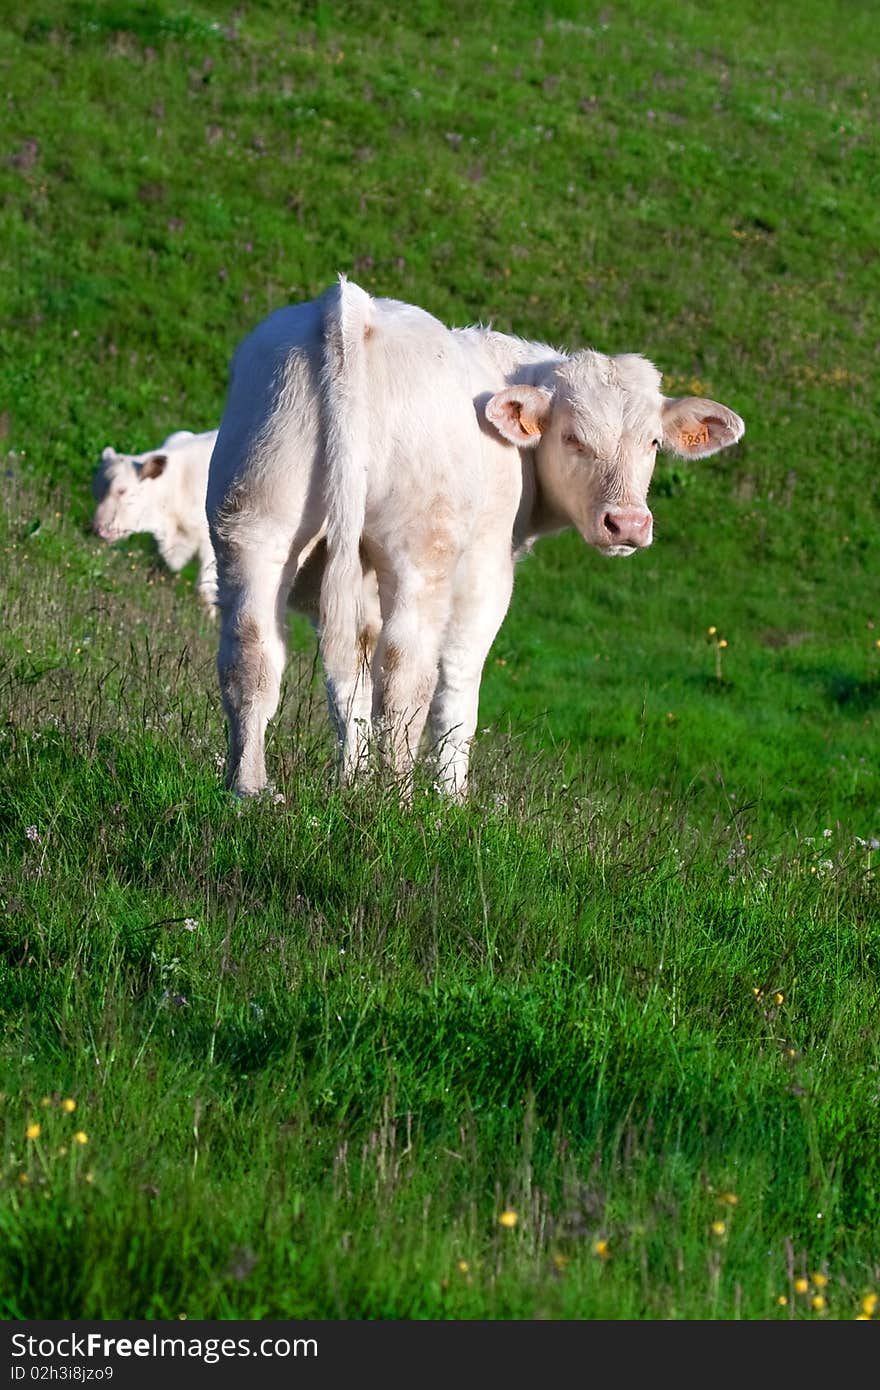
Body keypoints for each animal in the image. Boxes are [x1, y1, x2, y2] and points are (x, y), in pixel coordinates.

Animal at [205, 276, 739, 800]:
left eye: (653, 441)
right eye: (572, 438)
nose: (627, 523)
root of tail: (349, 305)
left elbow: (351, 680)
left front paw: (351, 781)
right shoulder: (487, 570)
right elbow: (457, 682)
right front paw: (449, 799)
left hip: (255, 523)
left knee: (253, 653)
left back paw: (249, 789)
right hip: (421, 551)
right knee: (407, 672)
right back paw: (396, 800)